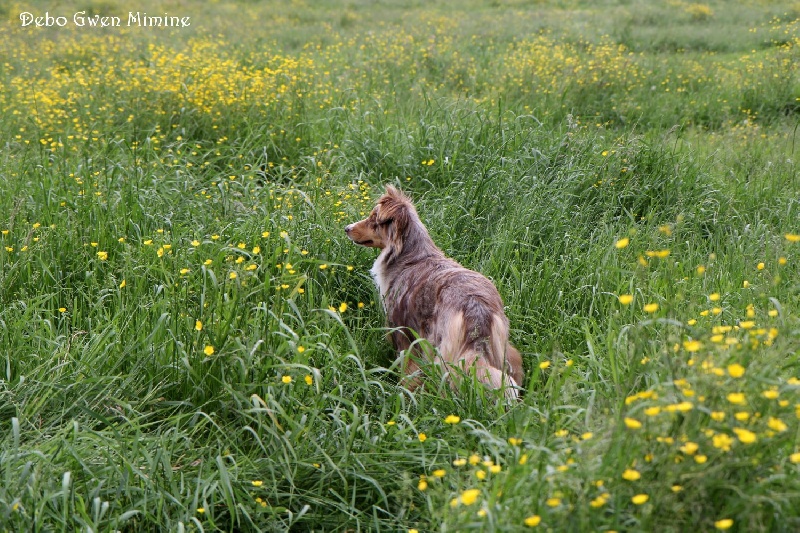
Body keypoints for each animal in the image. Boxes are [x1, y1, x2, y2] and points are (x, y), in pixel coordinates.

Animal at [346, 185, 524, 396]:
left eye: (374, 219)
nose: (347, 228)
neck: (410, 256)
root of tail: (477, 309)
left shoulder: (404, 332)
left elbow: (409, 370)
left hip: (445, 351)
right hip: (499, 346)